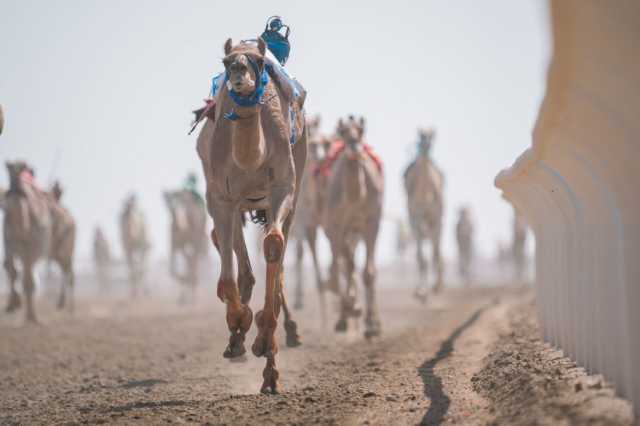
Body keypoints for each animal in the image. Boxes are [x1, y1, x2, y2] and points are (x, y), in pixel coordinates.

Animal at [194, 38, 306, 394]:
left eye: (258, 61)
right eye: (226, 60)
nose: (238, 72)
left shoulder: (283, 189)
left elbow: (274, 245)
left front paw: (265, 340)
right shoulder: (221, 197)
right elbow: (230, 272)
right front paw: (239, 321)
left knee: (275, 257)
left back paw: (267, 359)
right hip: (236, 203)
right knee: (232, 251)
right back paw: (238, 337)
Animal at [322, 115, 382, 340]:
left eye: (361, 130)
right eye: (343, 132)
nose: (354, 145)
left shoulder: (373, 222)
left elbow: (369, 272)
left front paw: (372, 324)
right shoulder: (335, 225)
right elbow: (342, 269)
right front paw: (351, 310)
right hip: (339, 230)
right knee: (344, 264)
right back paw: (344, 316)